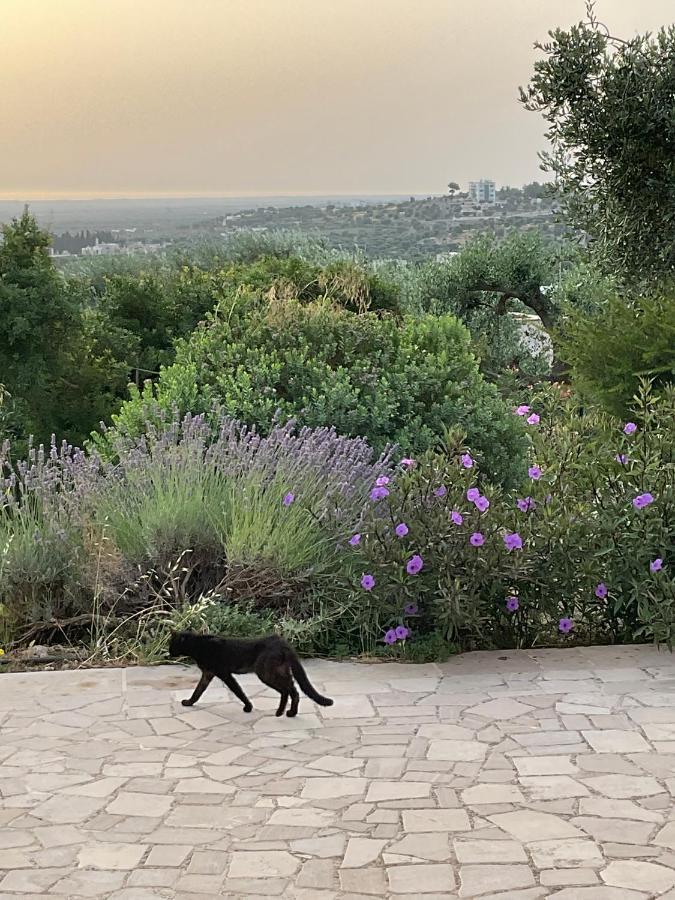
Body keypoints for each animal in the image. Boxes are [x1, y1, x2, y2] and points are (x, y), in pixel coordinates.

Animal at [169, 632, 332, 716]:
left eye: (172, 644)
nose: (169, 652)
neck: (198, 646)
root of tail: (281, 641)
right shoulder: (208, 674)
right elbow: (198, 691)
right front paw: (189, 702)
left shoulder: (224, 673)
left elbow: (238, 691)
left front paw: (248, 707)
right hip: (281, 671)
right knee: (293, 690)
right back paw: (290, 712)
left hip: (265, 673)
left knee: (286, 690)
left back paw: (280, 712)